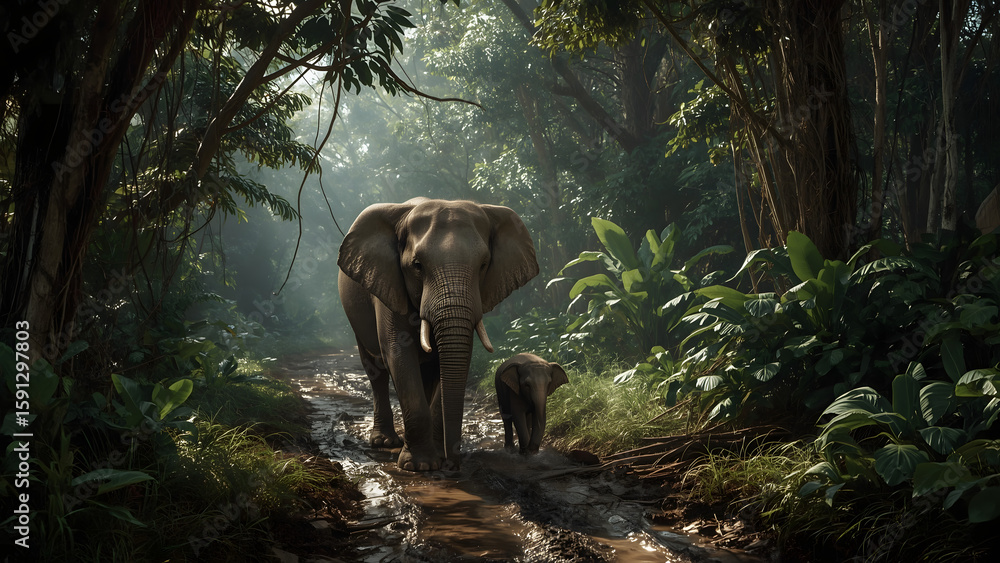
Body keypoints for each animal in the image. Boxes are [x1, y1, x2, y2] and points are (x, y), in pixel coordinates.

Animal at [338, 198, 538, 471]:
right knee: (375, 369)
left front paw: (437, 459)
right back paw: (384, 442)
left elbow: (456, 359)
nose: (454, 464)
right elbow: (398, 353)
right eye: (417, 266)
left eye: (483, 265)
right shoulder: (390, 287)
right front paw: (420, 466)